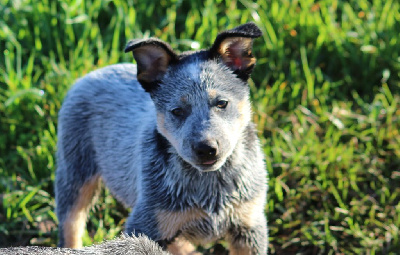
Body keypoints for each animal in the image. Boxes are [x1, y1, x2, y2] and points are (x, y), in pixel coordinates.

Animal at [54, 22, 268, 254]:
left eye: (222, 103)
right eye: (177, 111)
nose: (206, 149)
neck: (209, 186)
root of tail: (93, 73)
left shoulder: (250, 226)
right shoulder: (144, 224)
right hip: (75, 170)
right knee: (71, 223)